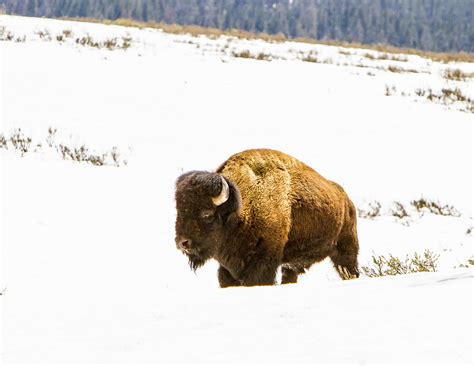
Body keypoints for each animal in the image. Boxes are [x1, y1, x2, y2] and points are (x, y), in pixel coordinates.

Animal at [174, 148, 360, 286]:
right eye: (179, 211)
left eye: (207, 213)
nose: (182, 242)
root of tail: (346, 199)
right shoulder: (228, 268)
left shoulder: (263, 263)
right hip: (291, 265)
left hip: (345, 248)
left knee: (349, 266)